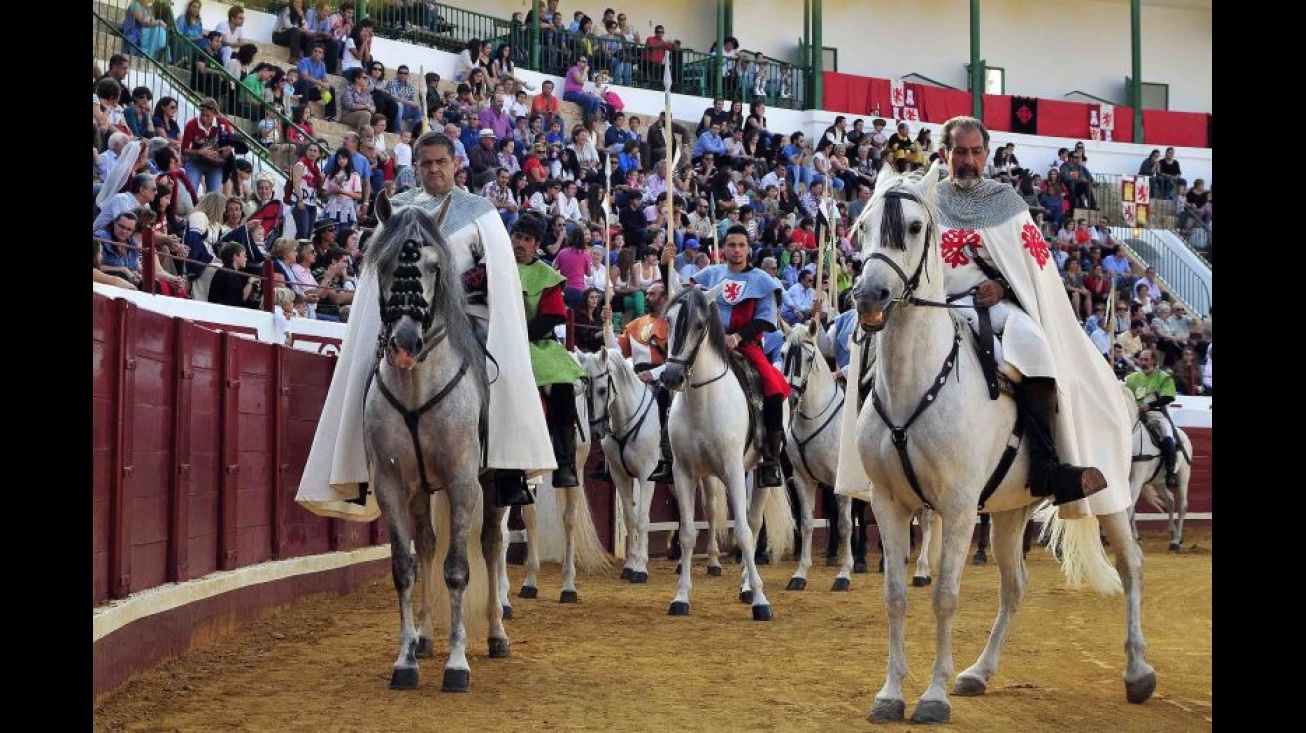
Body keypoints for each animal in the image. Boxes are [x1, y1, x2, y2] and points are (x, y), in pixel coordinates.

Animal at [496, 365, 608, 611]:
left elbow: (501, 535)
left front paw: (502, 600)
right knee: (531, 518)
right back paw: (530, 583)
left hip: (576, 466)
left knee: (569, 520)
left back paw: (568, 587)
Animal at [663, 280, 794, 616]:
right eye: (668, 320)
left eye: (699, 325)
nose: (671, 376)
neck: (703, 401)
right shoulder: (683, 474)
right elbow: (687, 534)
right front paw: (680, 597)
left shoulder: (734, 471)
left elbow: (745, 533)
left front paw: (760, 600)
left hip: (758, 474)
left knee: (753, 522)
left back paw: (748, 587)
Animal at [846, 164, 1154, 721]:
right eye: (863, 227)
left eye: (915, 228)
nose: (870, 296)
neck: (914, 382)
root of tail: (1119, 383)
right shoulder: (889, 503)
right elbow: (895, 595)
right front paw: (891, 694)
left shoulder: (960, 507)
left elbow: (945, 595)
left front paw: (933, 697)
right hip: (1011, 509)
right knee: (1015, 587)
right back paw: (978, 672)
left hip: (1112, 496)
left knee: (1132, 566)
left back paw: (1138, 672)